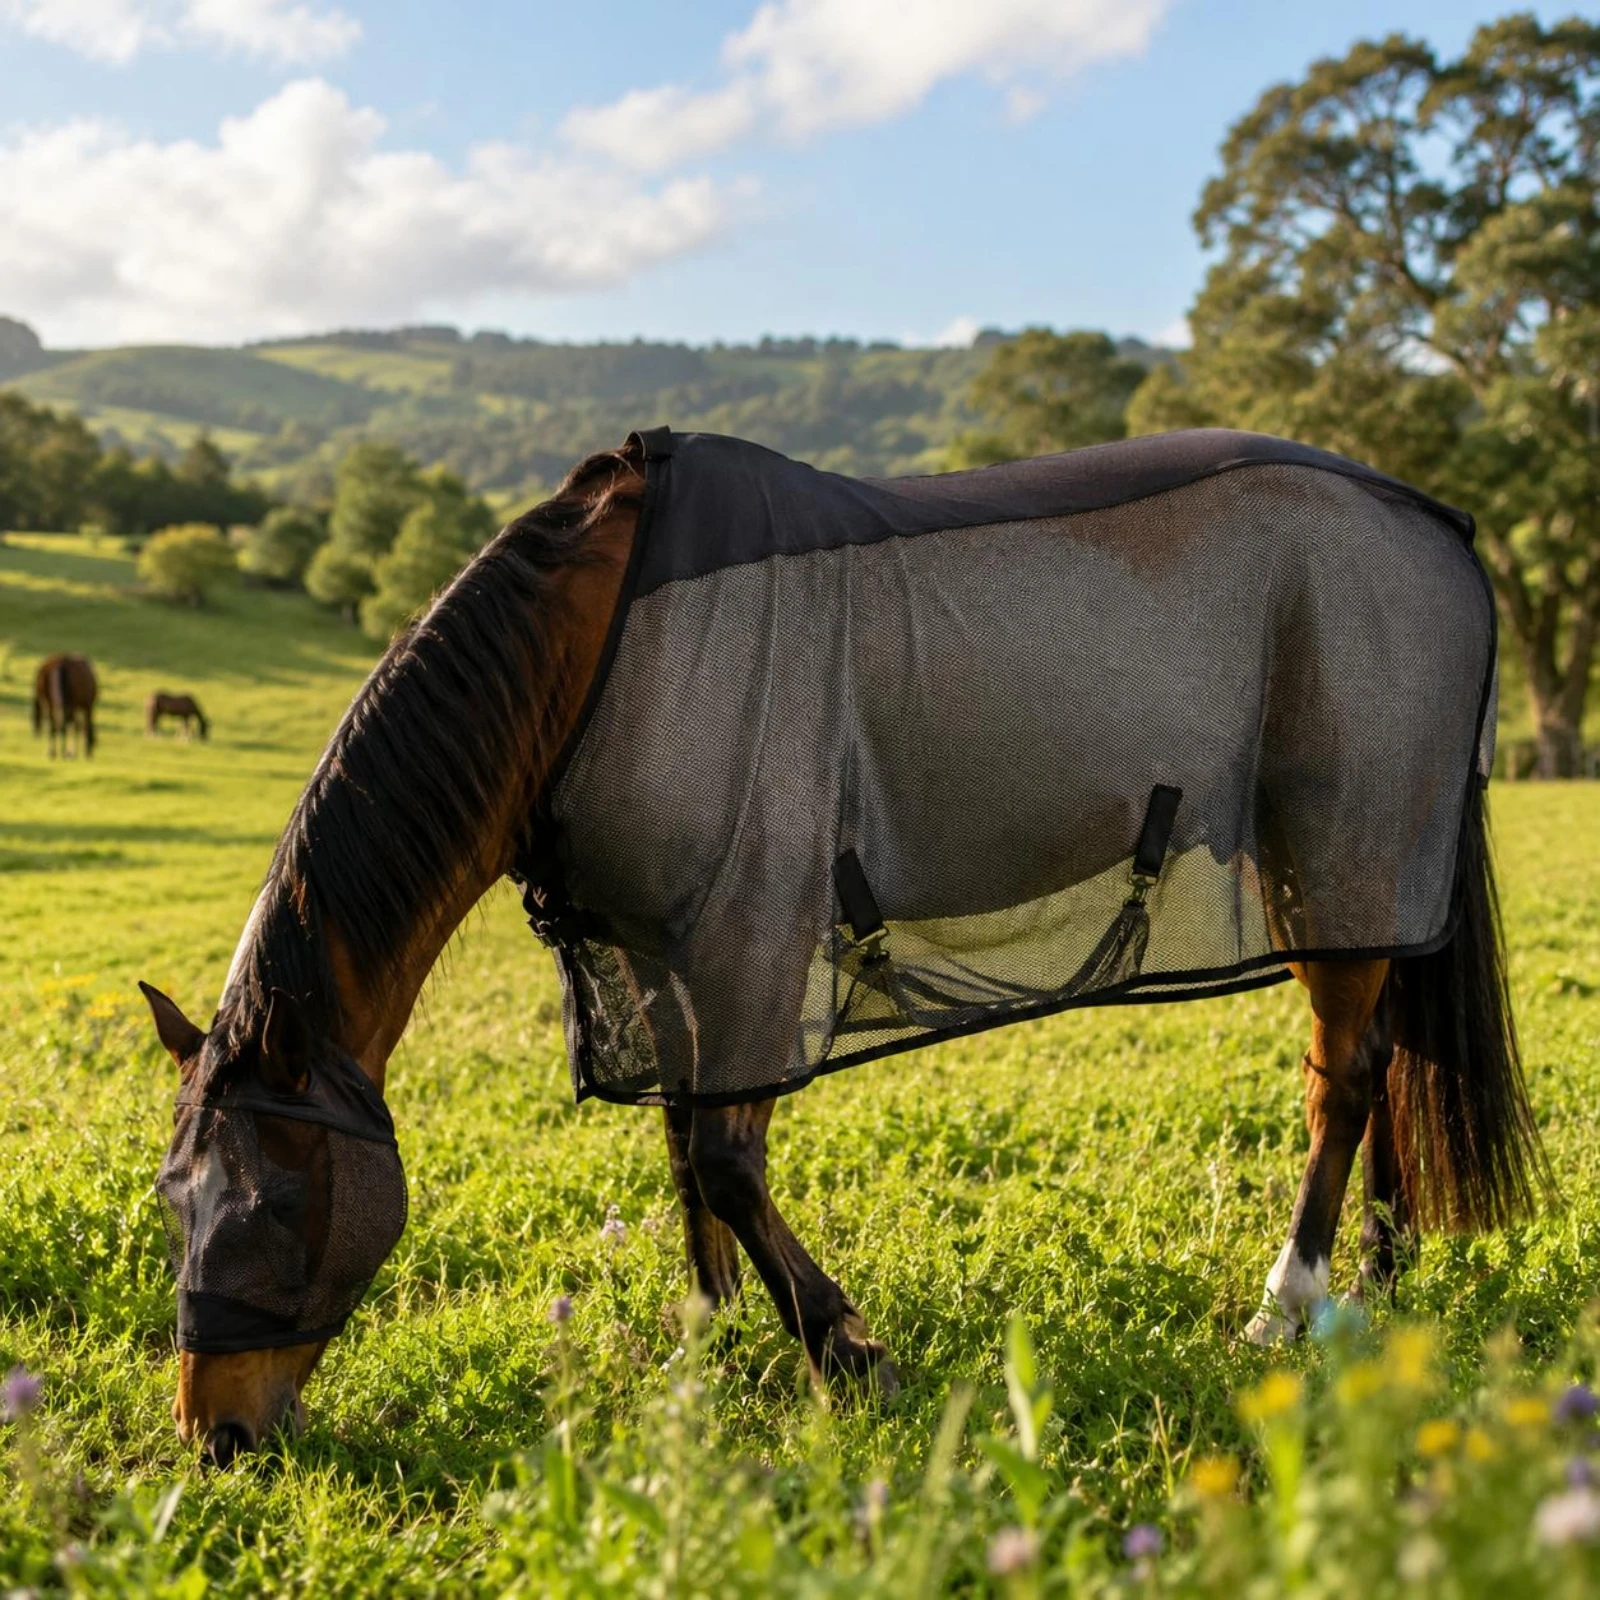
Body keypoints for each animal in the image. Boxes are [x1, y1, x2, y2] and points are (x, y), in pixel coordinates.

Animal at [139, 427, 1550, 1468]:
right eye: (171, 1199)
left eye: (271, 1202)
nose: (217, 1436)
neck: (593, 654)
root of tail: (1436, 522)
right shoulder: (662, 948)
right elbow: (683, 1144)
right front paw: (705, 1350)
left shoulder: (748, 937)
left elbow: (722, 1162)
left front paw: (846, 1352)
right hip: (1359, 886)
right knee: (1384, 1060)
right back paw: (1379, 1274)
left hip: (1339, 853)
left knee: (1344, 1076)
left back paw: (1286, 1304)